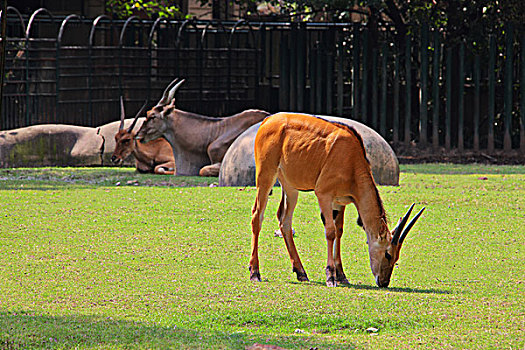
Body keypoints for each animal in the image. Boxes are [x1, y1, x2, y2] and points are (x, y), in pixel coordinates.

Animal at [248, 112, 424, 288]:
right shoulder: (324, 194)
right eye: (388, 254)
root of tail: (267, 121)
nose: (384, 281)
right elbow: (330, 232)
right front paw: (331, 276)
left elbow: (339, 231)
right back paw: (255, 272)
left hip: (290, 188)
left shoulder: (340, 201)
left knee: (284, 220)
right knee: (257, 216)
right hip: (265, 176)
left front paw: (341, 275)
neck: (351, 159)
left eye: (396, 257)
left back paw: (301, 272)